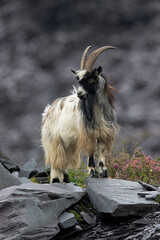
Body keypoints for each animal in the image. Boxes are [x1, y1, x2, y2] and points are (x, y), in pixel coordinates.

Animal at [41, 46, 119, 183]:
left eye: (91, 79)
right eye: (79, 80)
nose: (80, 94)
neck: (98, 113)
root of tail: (48, 111)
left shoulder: (104, 133)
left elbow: (101, 151)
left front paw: (103, 172)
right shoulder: (88, 134)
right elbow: (91, 152)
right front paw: (92, 172)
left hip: (68, 143)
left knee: (64, 161)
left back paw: (66, 179)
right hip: (53, 141)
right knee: (56, 162)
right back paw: (56, 180)